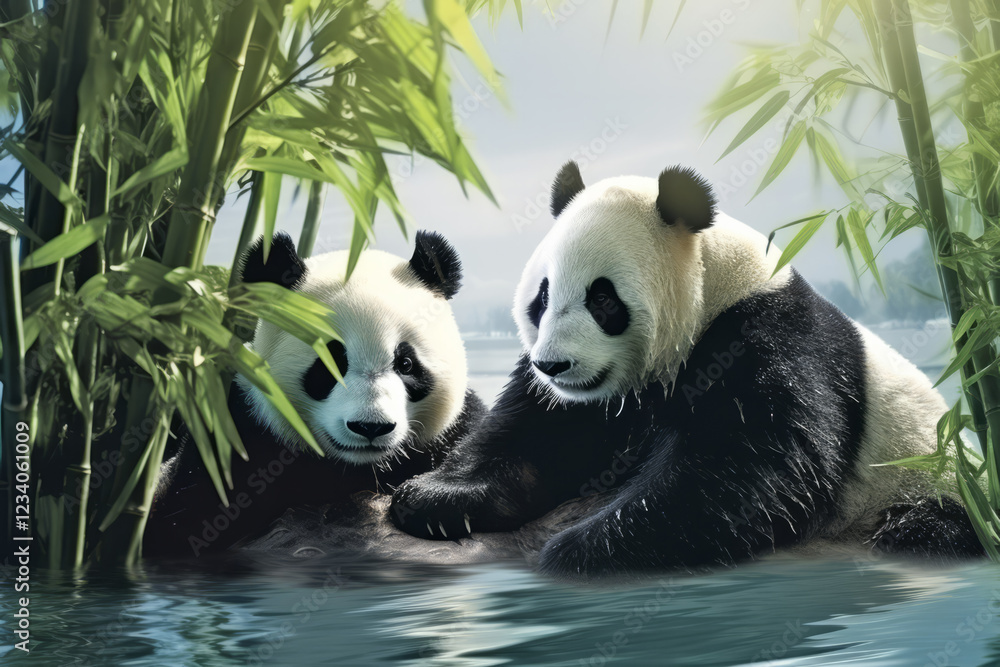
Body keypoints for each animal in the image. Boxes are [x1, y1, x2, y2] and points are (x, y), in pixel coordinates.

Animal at [146, 230, 486, 557]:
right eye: (329, 364)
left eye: (405, 364)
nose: (370, 427)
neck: (355, 468)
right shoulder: (239, 431)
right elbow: (181, 518)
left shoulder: (452, 431)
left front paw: (439, 507)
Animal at [388, 161, 983, 576]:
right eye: (543, 296)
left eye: (602, 300)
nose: (553, 364)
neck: (717, 287)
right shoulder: (592, 398)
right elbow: (538, 433)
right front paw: (436, 500)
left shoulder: (768, 336)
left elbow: (752, 464)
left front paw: (586, 550)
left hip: (935, 478)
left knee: (929, 526)